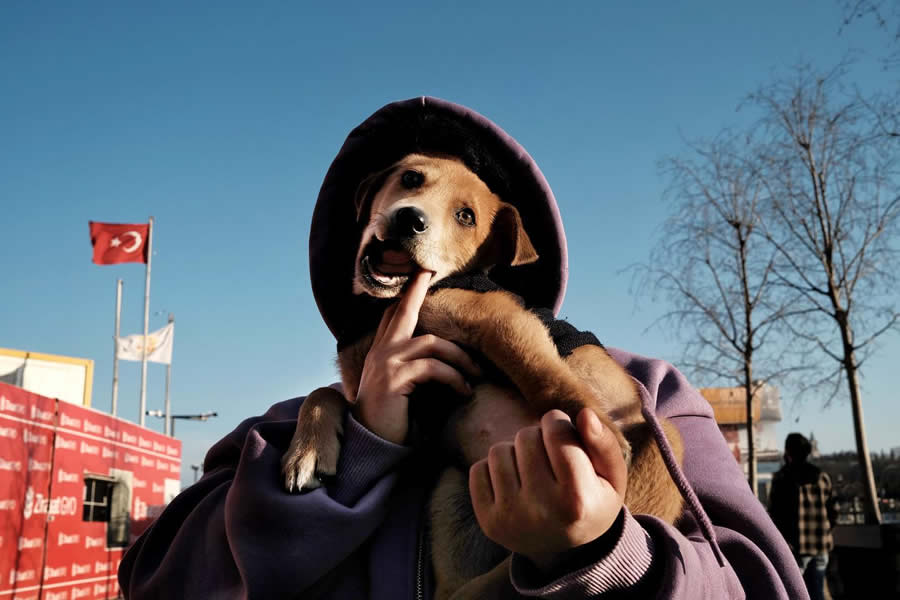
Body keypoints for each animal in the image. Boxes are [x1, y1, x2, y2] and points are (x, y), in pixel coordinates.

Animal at [282, 156, 684, 600]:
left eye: (466, 216)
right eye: (410, 178)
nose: (409, 219)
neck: (381, 311)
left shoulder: (497, 318)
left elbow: (541, 372)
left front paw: (594, 425)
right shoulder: (402, 410)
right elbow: (323, 393)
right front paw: (307, 451)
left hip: (664, 439)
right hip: (452, 491)